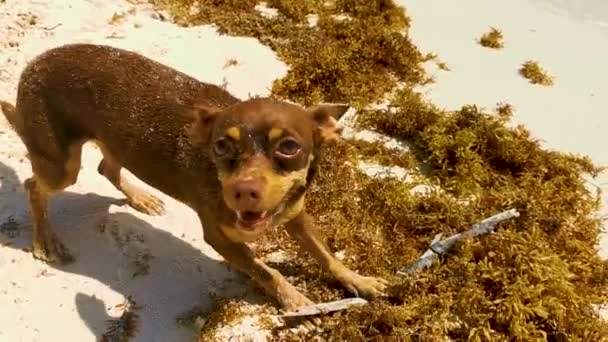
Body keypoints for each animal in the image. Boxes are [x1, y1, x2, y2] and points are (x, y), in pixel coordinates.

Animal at [0, 42, 388, 310]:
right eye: (221, 145)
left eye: (289, 147)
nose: (244, 192)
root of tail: (34, 63)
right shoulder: (220, 239)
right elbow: (266, 270)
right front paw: (293, 299)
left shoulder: (297, 215)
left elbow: (326, 255)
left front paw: (358, 280)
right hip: (60, 166)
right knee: (34, 186)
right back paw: (45, 241)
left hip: (114, 143)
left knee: (106, 167)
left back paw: (140, 197)